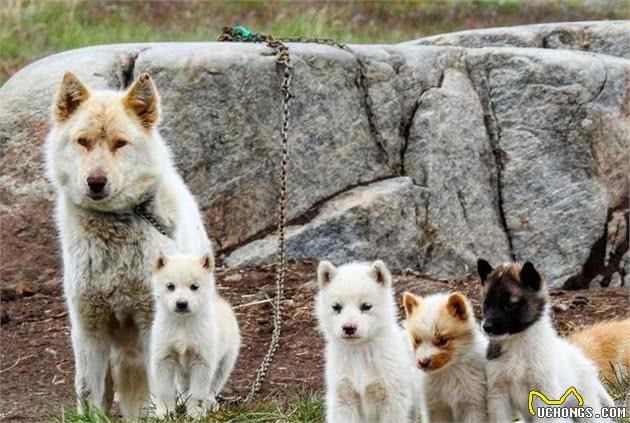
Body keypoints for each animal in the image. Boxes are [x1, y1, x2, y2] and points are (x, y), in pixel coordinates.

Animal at [47, 72, 210, 418]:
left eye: (119, 143)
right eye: (83, 141)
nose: (96, 182)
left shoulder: (151, 325)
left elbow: (157, 391)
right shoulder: (89, 328)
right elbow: (89, 394)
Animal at [149, 253, 241, 420]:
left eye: (194, 286)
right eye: (170, 286)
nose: (181, 303)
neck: (183, 325)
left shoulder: (202, 360)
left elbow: (197, 392)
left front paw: (195, 414)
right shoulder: (164, 358)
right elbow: (165, 391)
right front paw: (165, 413)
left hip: (225, 363)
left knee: (213, 387)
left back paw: (209, 404)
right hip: (182, 370)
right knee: (184, 386)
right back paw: (182, 402)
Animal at [316, 260, 424, 422]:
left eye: (366, 306)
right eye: (336, 307)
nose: (349, 328)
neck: (360, 352)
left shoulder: (393, 400)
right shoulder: (344, 399)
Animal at [404, 292, 488, 423]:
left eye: (442, 341)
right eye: (417, 340)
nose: (423, 362)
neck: (448, 373)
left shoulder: (474, 406)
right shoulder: (437, 408)